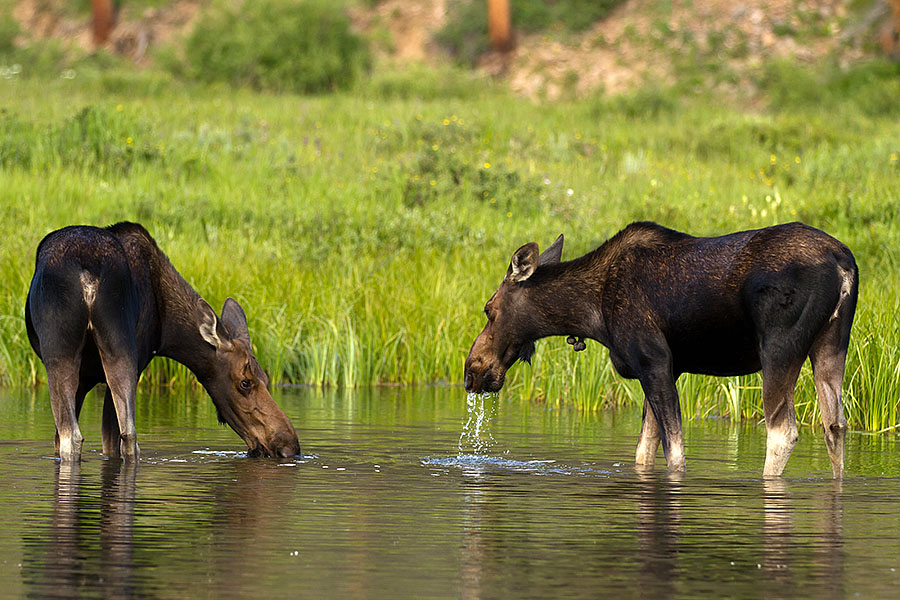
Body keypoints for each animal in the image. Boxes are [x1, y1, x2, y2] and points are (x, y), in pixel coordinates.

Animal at [22, 223, 298, 462]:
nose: (289, 446)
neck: (167, 330)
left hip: (80, 352)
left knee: (85, 436)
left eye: (266, 378)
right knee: (119, 435)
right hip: (111, 351)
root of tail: (88, 273)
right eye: (245, 382)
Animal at [464, 220, 856, 478]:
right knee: (835, 425)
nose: (472, 370)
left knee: (783, 432)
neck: (590, 315)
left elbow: (675, 454)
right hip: (832, 346)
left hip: (778, 347)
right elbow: (644, 452)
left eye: (488, 309)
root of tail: (844, 264)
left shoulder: (653, 360)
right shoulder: (668, 367)